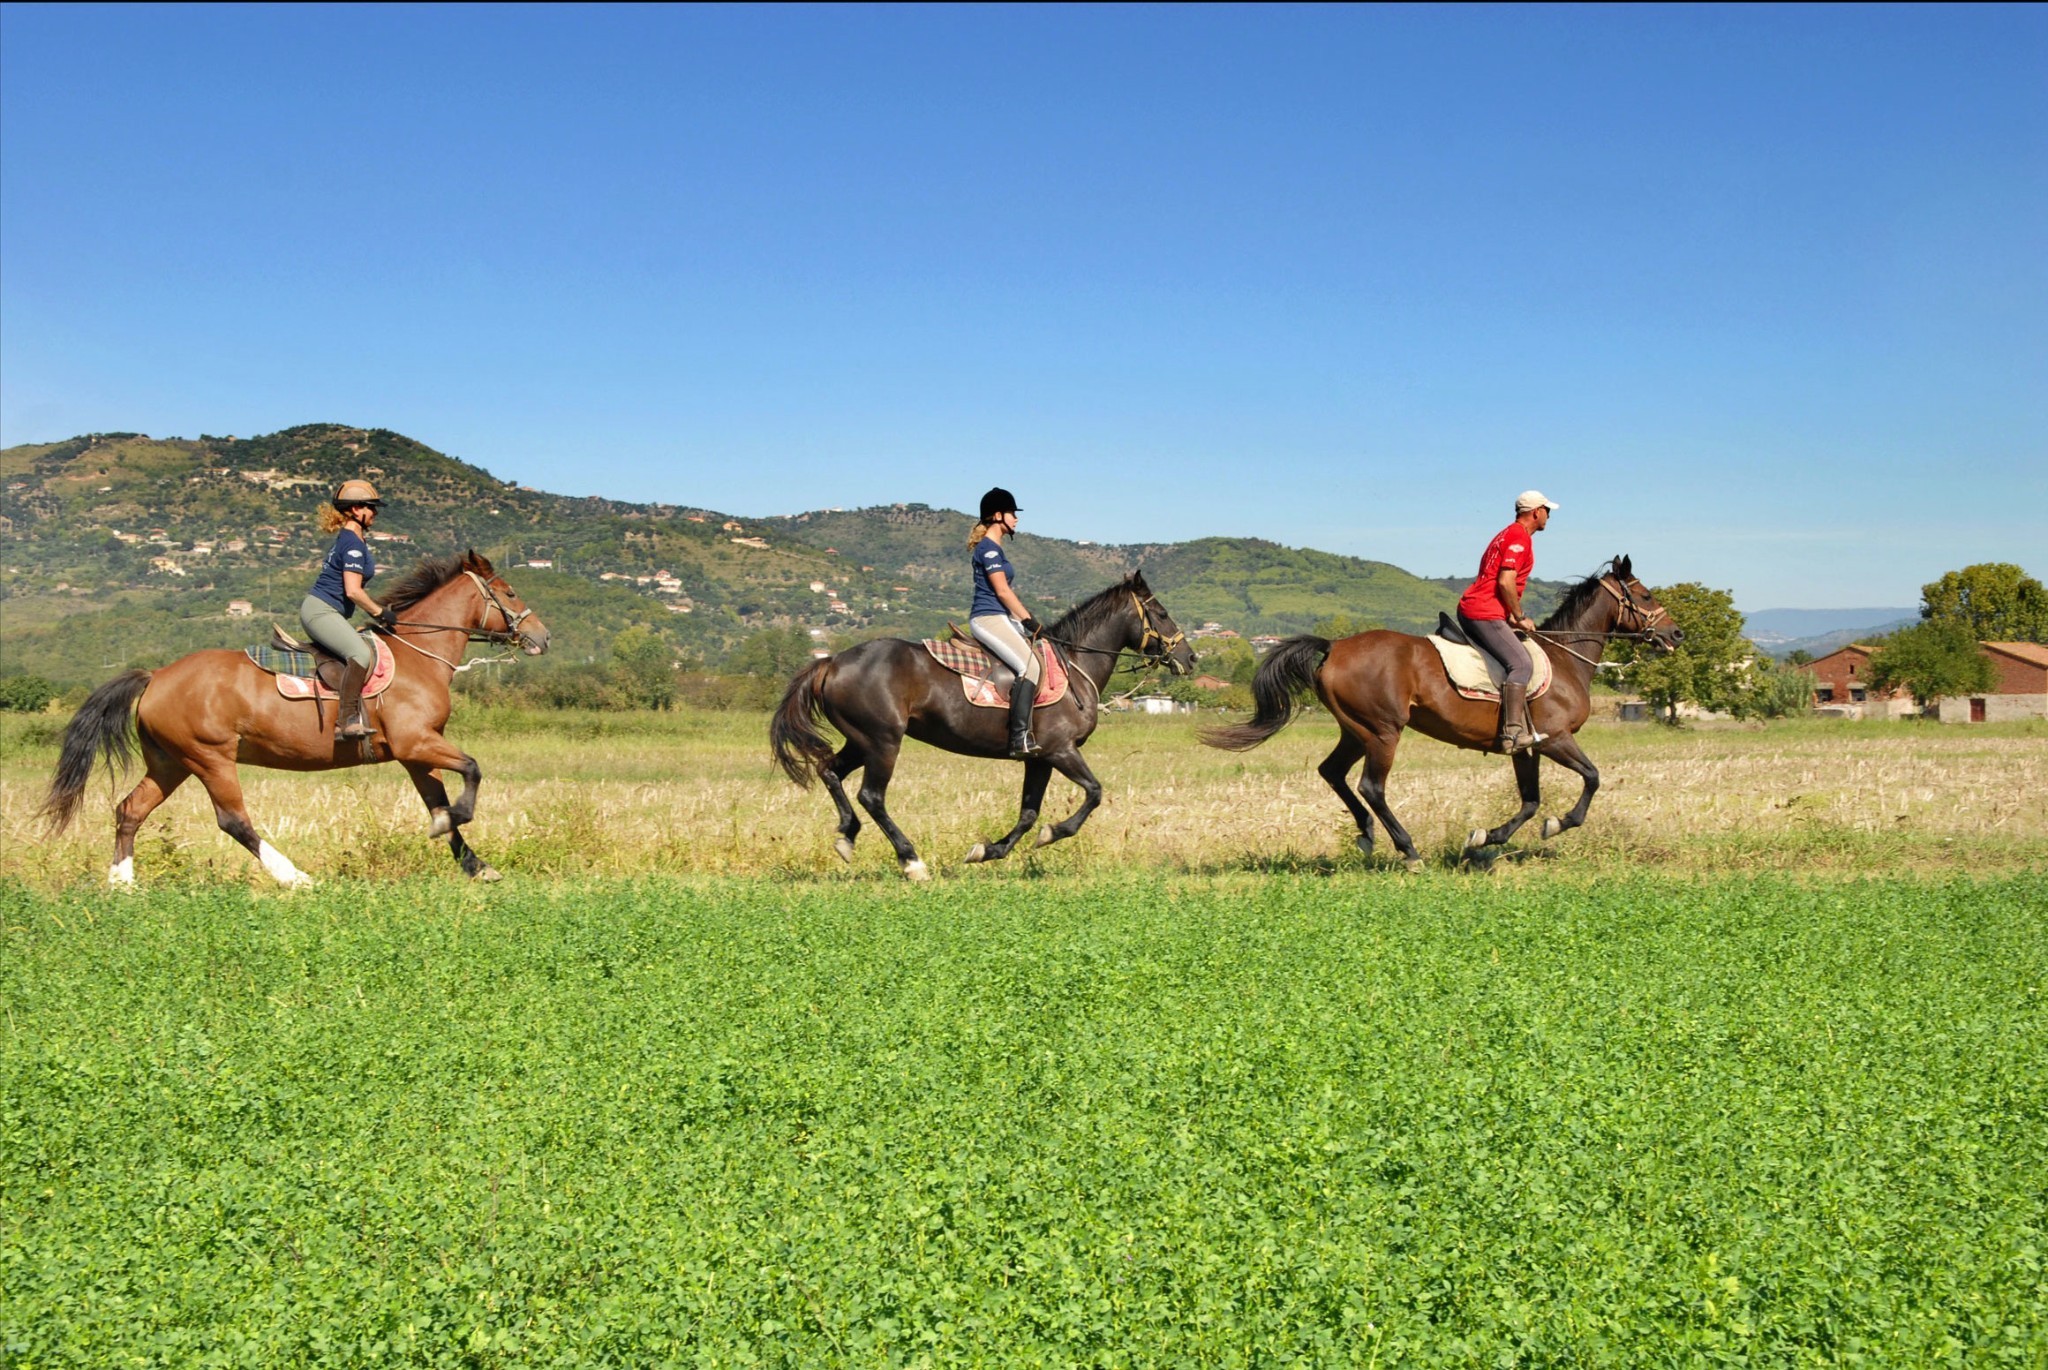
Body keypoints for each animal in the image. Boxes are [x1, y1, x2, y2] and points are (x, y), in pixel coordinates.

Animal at [40, 551, 549, 887]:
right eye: (509, 592)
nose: (542, 637)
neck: (417, 656)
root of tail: (157, 675)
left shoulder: (415, 754)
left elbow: (438, 801)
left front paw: (476, 865)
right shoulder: (416, 743)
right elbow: (471, 771)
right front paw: (452, 828)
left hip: (171, 762)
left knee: (130, 810)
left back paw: (122, 883)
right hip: (210, 759)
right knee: (233, 821)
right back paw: (294, 877)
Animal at [770, 572, 1199, 879]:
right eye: (1161, 613)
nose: (1191, 658)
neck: (1076, 664)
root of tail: (831, 661)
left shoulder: (1038, 758)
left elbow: (1028, 814)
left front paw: (988, 851)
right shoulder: (1061, 750)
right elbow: (1093, 793)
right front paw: (1052, 834)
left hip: (860, 740)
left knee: (830, 772)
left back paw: (847, 836)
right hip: (883, 742)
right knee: (871, 796)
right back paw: (912, 861)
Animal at [1202, 557, 1681, 869]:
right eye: (1645, 594)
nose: (1675, 634)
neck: (1566, 659)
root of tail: (1335, 646)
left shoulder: (1527, 748)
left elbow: (1529, 801)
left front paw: (1485, 838)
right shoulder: (1557, 739)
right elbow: (1591, 780)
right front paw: (1556, 825)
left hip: (1356, 730)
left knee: (1333, 773)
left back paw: (1366, 834)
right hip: (1383, 731)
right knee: (1372, 786)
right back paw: (1408, 851)